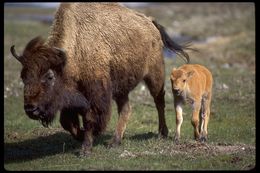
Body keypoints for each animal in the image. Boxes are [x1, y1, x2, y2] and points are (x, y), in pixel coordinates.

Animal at [10, 2, 191, 155]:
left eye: (49, 76)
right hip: (121, 89)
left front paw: (85, 148)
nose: (30, 108)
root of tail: (150, 22)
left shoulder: (96, 96)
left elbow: (90, 119)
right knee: (126, 109)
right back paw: (114, 141)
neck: (72, 55)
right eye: (23, 76)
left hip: (154, 75)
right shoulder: (70, 100)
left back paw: (162, 133)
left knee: (159, 101)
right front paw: (81, 136)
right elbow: (67, 122)